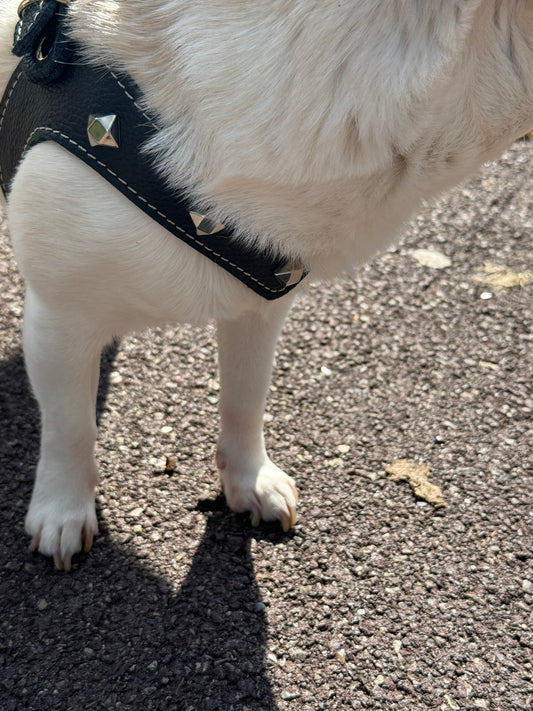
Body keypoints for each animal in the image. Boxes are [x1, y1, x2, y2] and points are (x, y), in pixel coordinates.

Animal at [0, 0, 528, 572]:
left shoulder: (257, 305)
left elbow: (246, 396)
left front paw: (249, 480)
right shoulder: (60, 320)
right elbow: (70, 428)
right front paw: (63, 511)